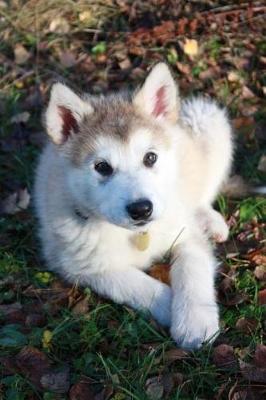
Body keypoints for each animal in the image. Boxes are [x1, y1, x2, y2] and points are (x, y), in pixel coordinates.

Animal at [34, 62, 232, 346]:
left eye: (150, 157)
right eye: (102, 167)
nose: (141, 209)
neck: (135, 235)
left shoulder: (187, 236)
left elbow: (191, 271)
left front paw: (195, 321)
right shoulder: (79, 265)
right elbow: (138, 285)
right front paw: (170, 308)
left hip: (207, 119)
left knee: (202, 193)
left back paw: (210, 220)